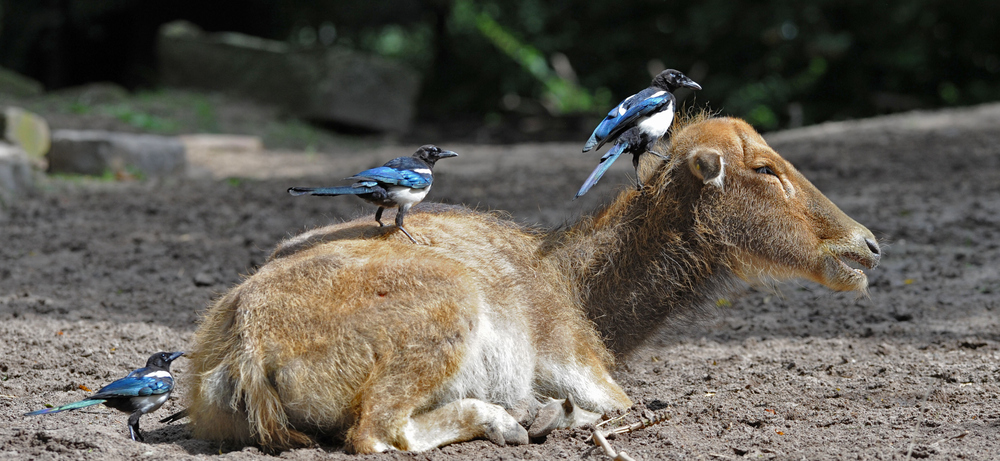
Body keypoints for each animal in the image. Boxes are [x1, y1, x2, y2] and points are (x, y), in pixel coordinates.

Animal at [184, 113, 880, 452]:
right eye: (765, 167)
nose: (864, 245)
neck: (582, 292)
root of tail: (247, 349)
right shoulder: (580, 364)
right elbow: (622, 405)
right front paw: (553, 412)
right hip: (445, 315)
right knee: (376, 434)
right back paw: (520, 419)